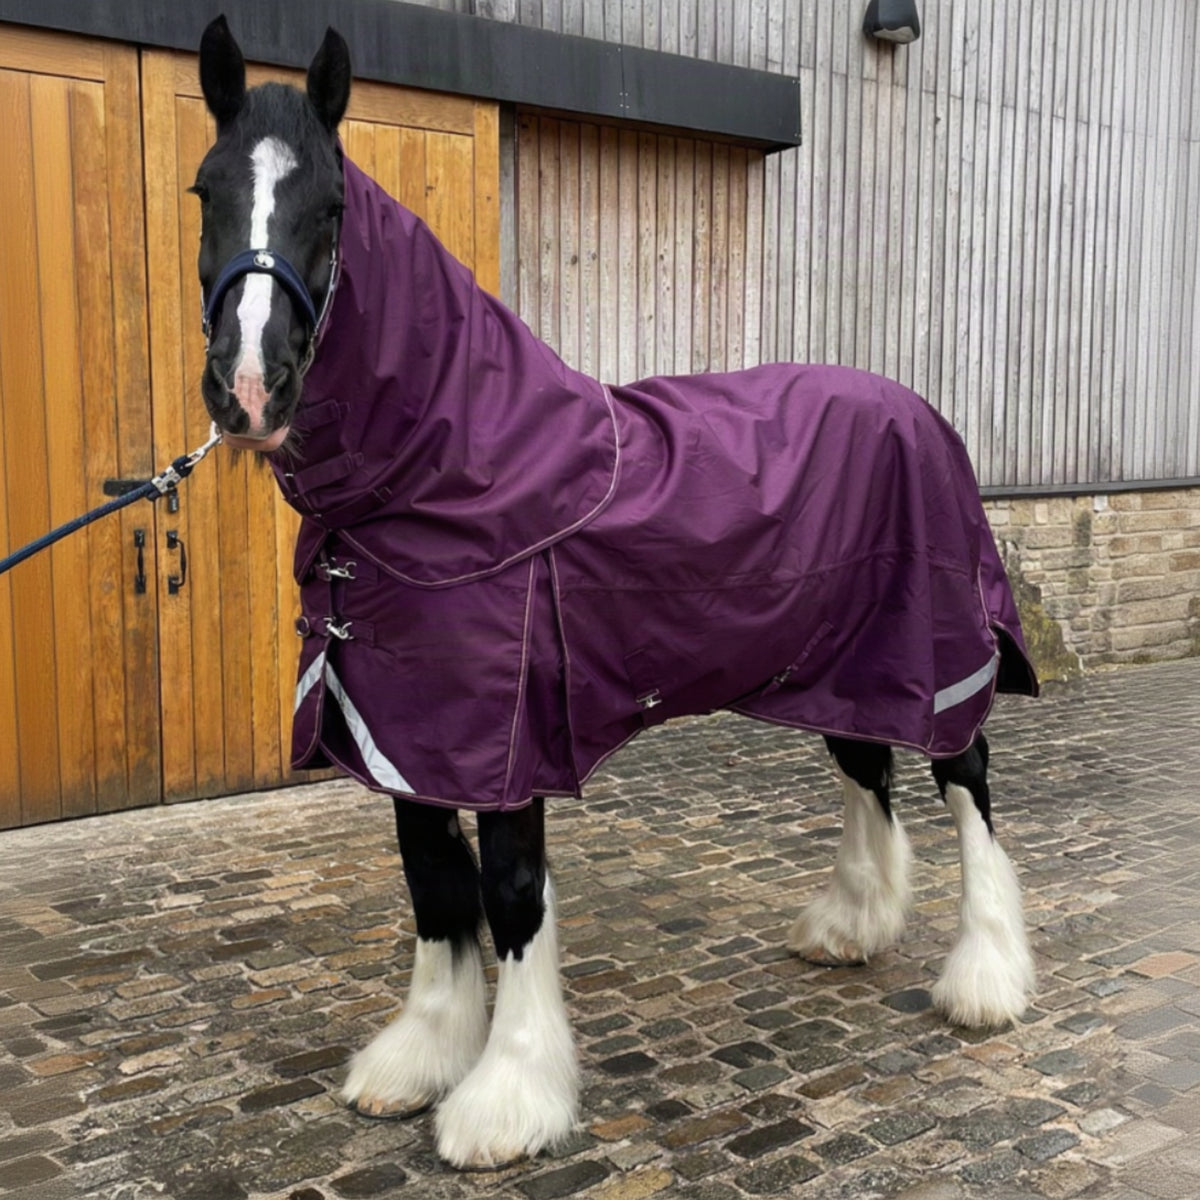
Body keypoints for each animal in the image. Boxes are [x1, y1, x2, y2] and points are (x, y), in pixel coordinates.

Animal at [194, 17, 1039, 1170]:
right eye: (204, 191)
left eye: (329, 206)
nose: (248, 388)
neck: (463, 467)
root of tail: (919, 412)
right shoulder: (404, 735)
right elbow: (434, 889)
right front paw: (418, 1059)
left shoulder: (503, 745)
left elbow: (509, 898)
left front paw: (507, 1098)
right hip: (842, 665)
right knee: (869, 770)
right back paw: (851, 927)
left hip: (935, 653)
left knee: (966, 780)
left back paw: (986, 980)